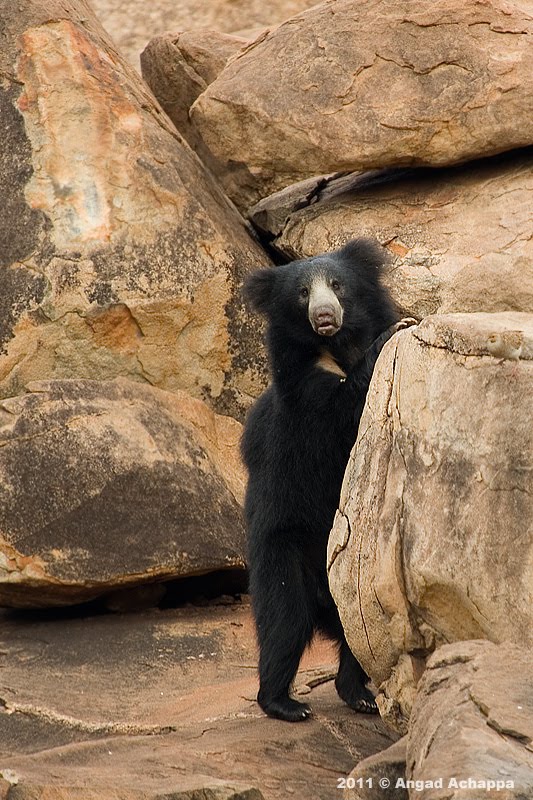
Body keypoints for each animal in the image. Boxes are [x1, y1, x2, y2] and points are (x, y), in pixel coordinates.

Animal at [241, 239, 412, 722]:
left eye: (337, 285)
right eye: (302, 293)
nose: (323, 314)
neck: (336, 344)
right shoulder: (304, 391)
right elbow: (340, 405)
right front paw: (400, 328)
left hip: (355, 576)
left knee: (361, 635)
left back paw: (359, 695)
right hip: (283, 550)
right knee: (284, 621)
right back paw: (284, 703)